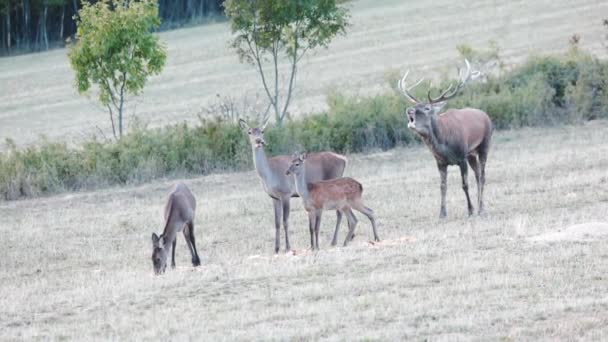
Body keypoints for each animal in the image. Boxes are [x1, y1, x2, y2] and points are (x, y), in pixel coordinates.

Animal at [240, 117, 350, 254]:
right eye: (249, 132)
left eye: (262, 131)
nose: (259, 141)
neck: (268, 174)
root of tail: (344, 159)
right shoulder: (274, 197)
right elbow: (276, 222)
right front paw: (276, 248)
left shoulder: (286, 194)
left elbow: (285, 221)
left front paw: (287, 247)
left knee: (339, 212)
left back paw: (334, 241)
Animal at [400, 59, 494, 218]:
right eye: (416, 105)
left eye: (427, 108)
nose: (409, 110)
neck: (443, 145)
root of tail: (486, 115)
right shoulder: (440, 162)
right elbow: (443, 186)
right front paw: (442, 213)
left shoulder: (461, 157)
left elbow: (464, 184)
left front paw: (470, 210)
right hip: (471, 154)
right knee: (477, 175)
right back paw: (481, 205)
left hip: (484, 145)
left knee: (482, 175)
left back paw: (480, 208)